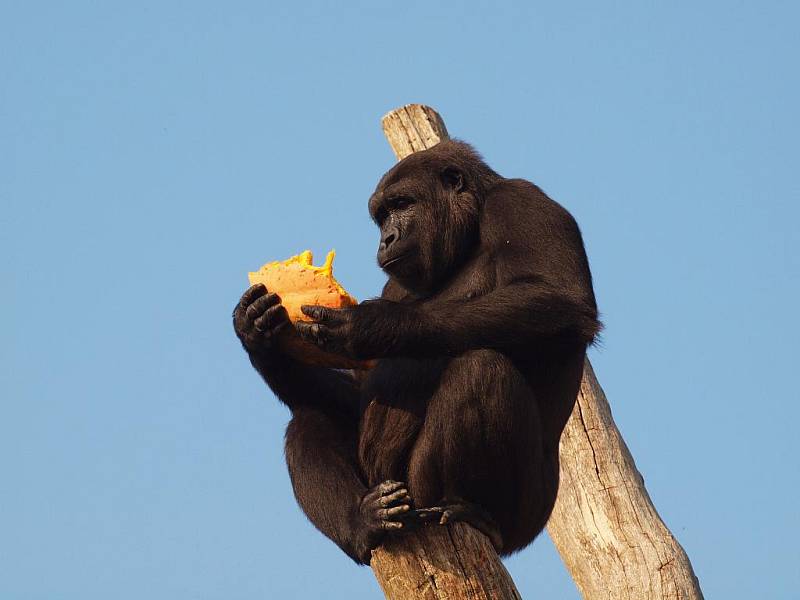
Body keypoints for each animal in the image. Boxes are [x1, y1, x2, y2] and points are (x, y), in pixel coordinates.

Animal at [234, 141, 596, 564]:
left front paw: (373, 325)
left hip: (518, 516)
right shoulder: (395, 280)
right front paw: (257, 335)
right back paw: (363, 523)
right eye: (381, 216)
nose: (386, 238)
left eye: (402, 203)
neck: (468, 234)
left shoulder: (525, 202)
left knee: (481, 371)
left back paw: (475, 511)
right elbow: (357, 396)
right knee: (308, 422)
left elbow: (560, 298)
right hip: (383, 488)